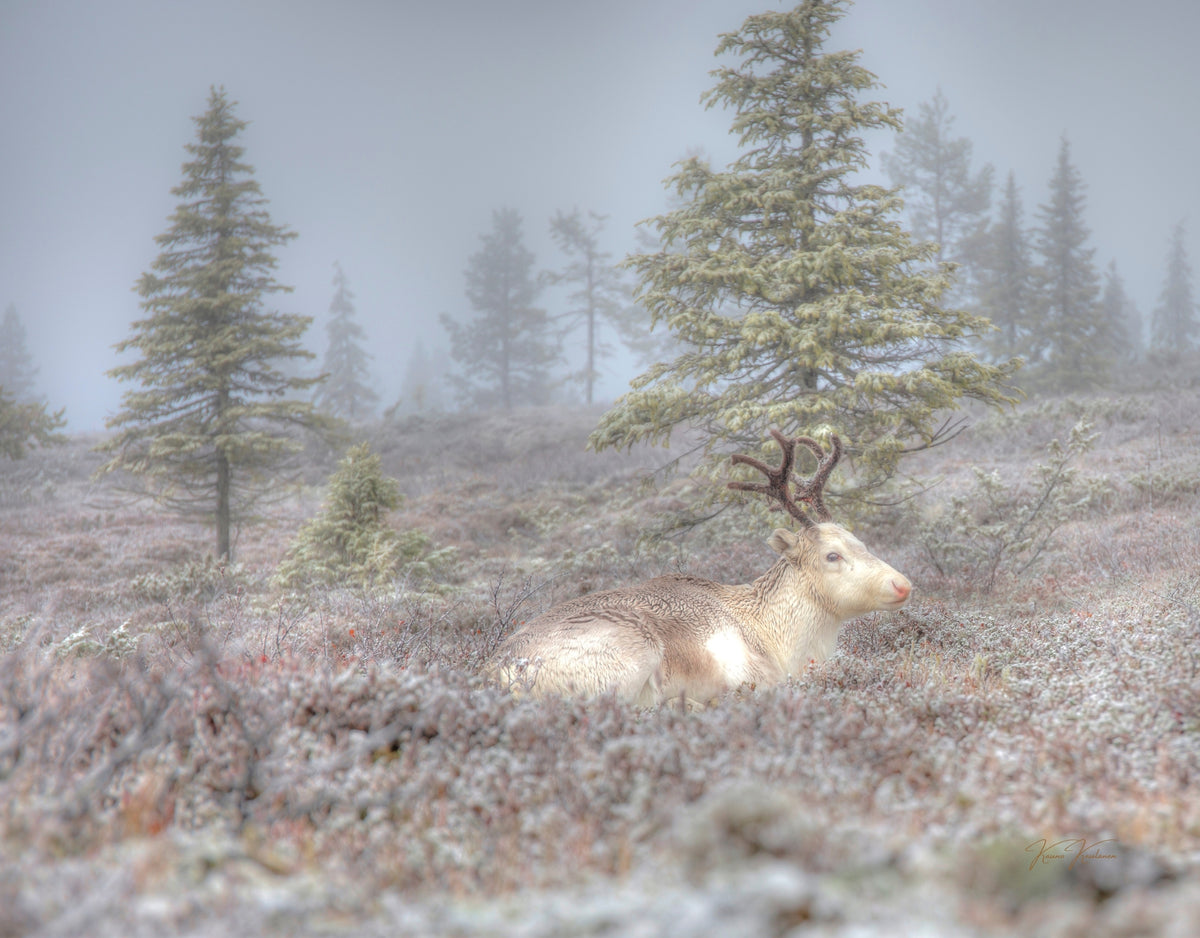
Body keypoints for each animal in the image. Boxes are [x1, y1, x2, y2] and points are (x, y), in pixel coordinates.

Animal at [487, 430, 912, 707]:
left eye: (861, 541)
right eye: (832, 555)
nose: (903, 584)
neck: (777, 635)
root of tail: (498, 673)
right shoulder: (755, 679)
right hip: (629, 654)